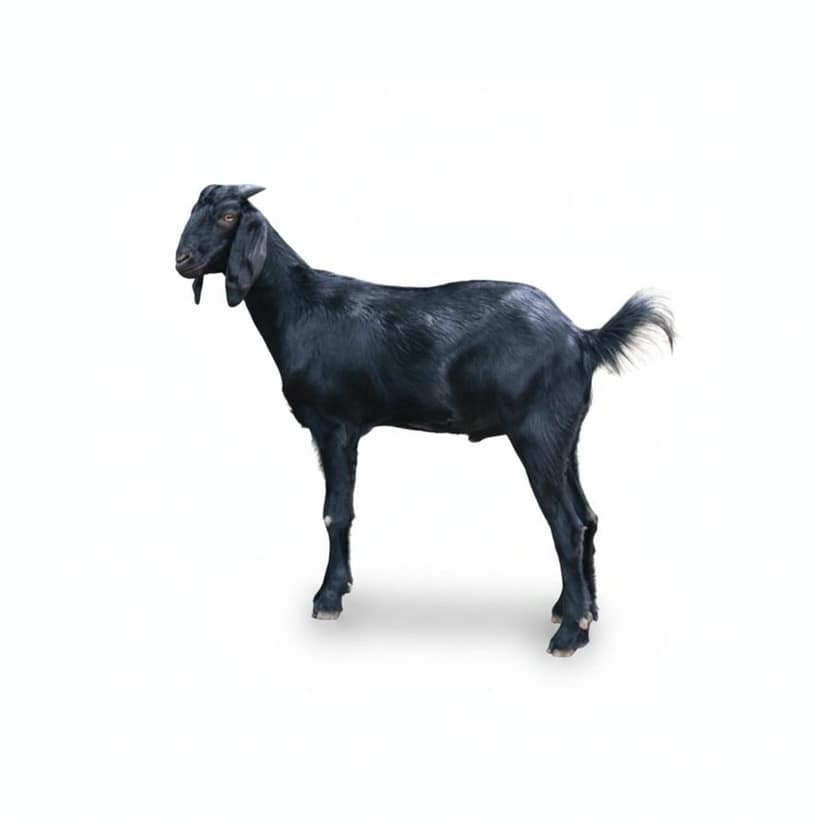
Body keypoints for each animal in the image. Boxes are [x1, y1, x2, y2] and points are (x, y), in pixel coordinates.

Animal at [175, 184, 673, 656]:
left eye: (228, 216)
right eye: (194, 211)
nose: (182, 260)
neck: (302, 307)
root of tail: (581, 337)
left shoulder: (334, 424)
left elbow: (336, 512)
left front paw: (328, 598)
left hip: (538, 434)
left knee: (567, 525)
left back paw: (569, 635)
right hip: (566, 437)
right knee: (588, 517)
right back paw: (581, 613)